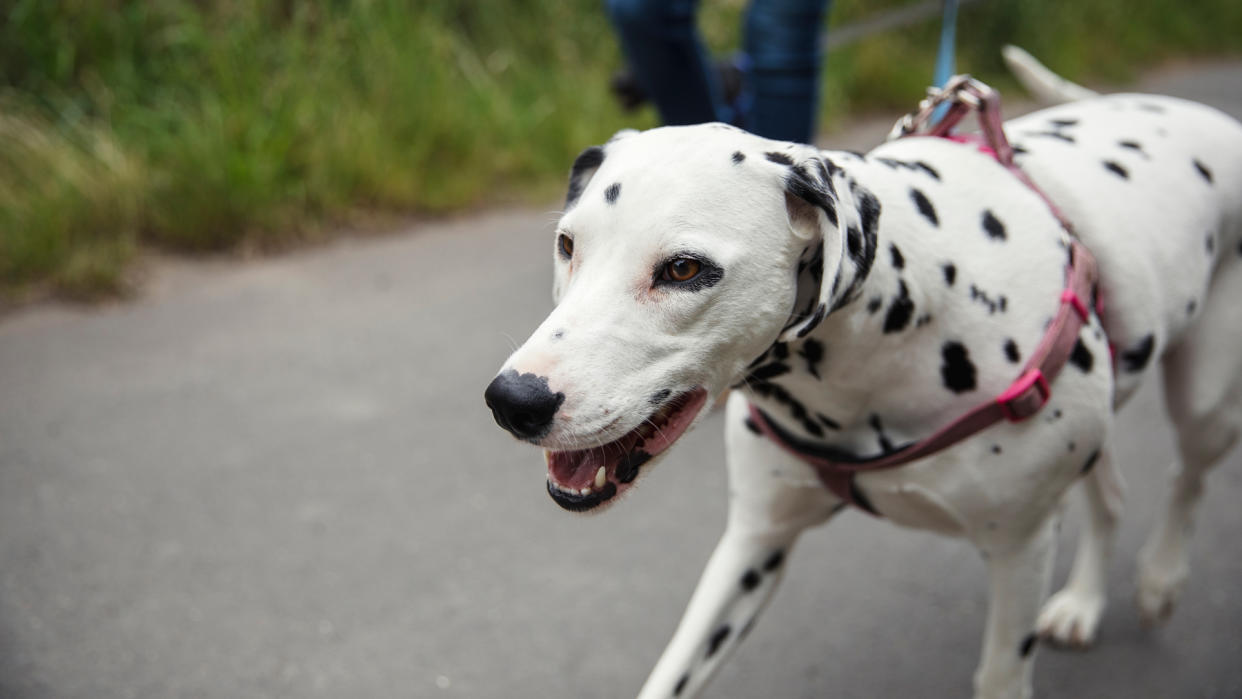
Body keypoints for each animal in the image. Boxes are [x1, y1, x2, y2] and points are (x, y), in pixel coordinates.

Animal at [481, 50, 1242, 699]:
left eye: (684, 268)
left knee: (1189, 475)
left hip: (1204, 405)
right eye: (568, 245)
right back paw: (1085, 602)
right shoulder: (753, 545)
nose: (513, 400)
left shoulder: (1019, 553)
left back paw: (1160, 579)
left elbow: (1001, 674)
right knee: (1109, 493)